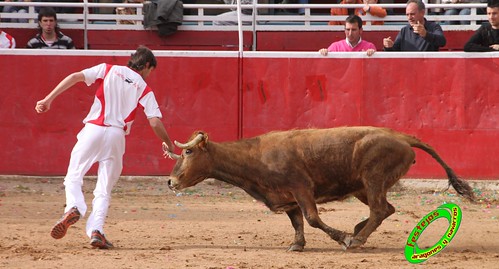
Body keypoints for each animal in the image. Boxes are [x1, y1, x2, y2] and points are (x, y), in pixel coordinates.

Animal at [167, 126, 472, 250]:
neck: (255, 157)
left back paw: (356, 239)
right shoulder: (288, 198)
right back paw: (359, 230)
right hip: (364, 186)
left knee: (379, 209)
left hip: (373, 179)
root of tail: (402, 137)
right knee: (386, 209)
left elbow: (313, 219)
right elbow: (297, 223)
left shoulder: (301, 189)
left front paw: (342, 238)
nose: (171, 182)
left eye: (188, 152)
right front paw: (297, 245)